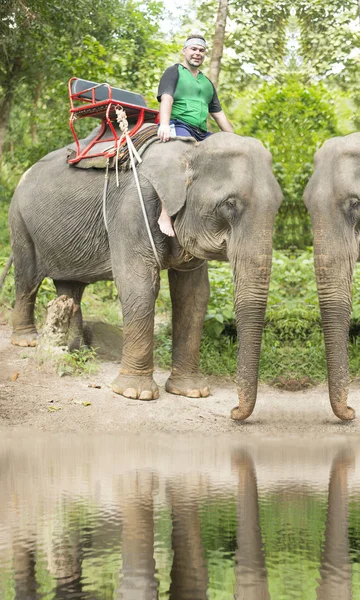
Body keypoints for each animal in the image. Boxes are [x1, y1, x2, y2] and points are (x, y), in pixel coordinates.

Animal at [8, 131, 282, 422]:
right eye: (229, 204)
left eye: (278, 206)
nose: (232, 412)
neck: (189, 152)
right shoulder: (132, 208)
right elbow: (139, 285)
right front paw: (135, 393)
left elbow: (194, 294)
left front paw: (192, 392)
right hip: (19, 221)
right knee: (28, 277)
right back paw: (27, 340)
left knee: (70, 288)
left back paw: (76, 351)